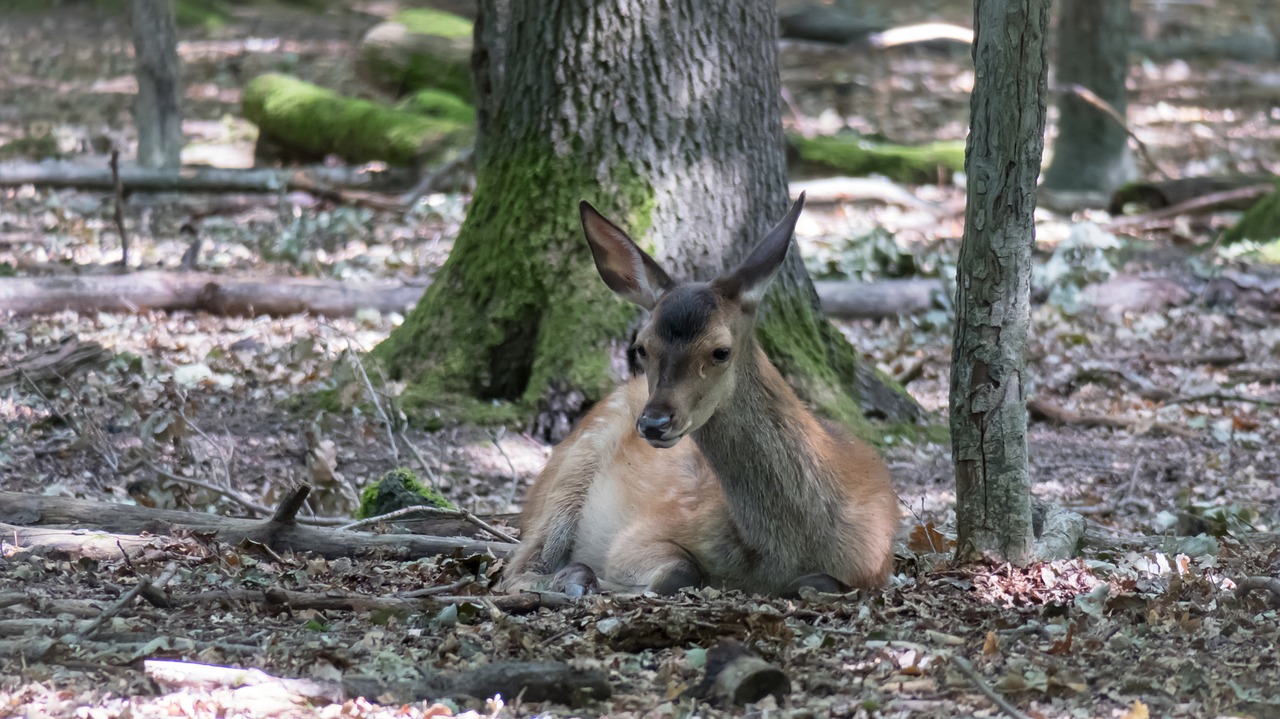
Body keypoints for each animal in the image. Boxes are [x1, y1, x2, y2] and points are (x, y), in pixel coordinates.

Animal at [499, 193, 901, 596]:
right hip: (576, 468)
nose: (654, 422)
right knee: (516, 570)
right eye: (642, 347)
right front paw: (602, 578)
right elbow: (680, 569)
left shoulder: (873, 563)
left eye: (720, 351)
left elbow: (827, 581)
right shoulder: (643, 531)